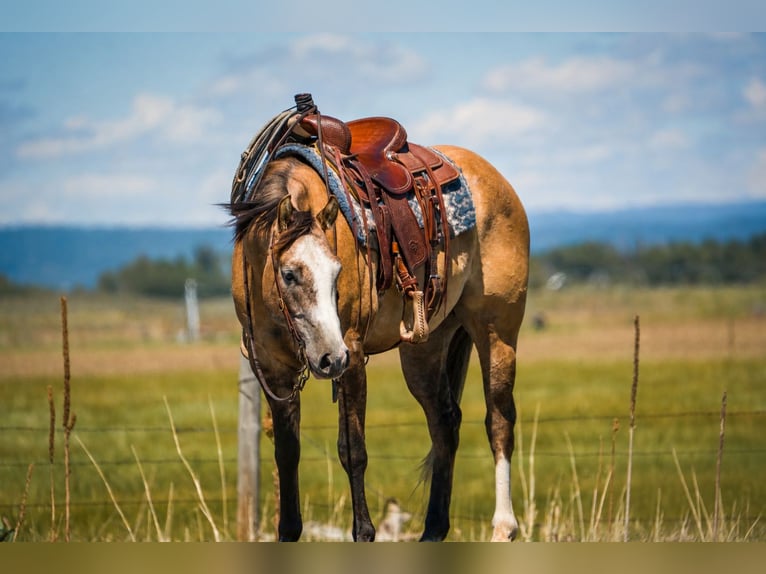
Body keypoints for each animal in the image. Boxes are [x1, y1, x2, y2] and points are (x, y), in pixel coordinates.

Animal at [227, 105, 529, 542]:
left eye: (337, 272)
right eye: (289, 274)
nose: (329, 359)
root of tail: (497, 182)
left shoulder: (352, 355)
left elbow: (353, 449)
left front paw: (365, 532)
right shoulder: (271, 365)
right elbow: (287, 453)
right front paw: (288, 531)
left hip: (497, 330)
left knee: (500, 419)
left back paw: (503, 527)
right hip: (425, 347)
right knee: (444, 422)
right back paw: (433, 530)